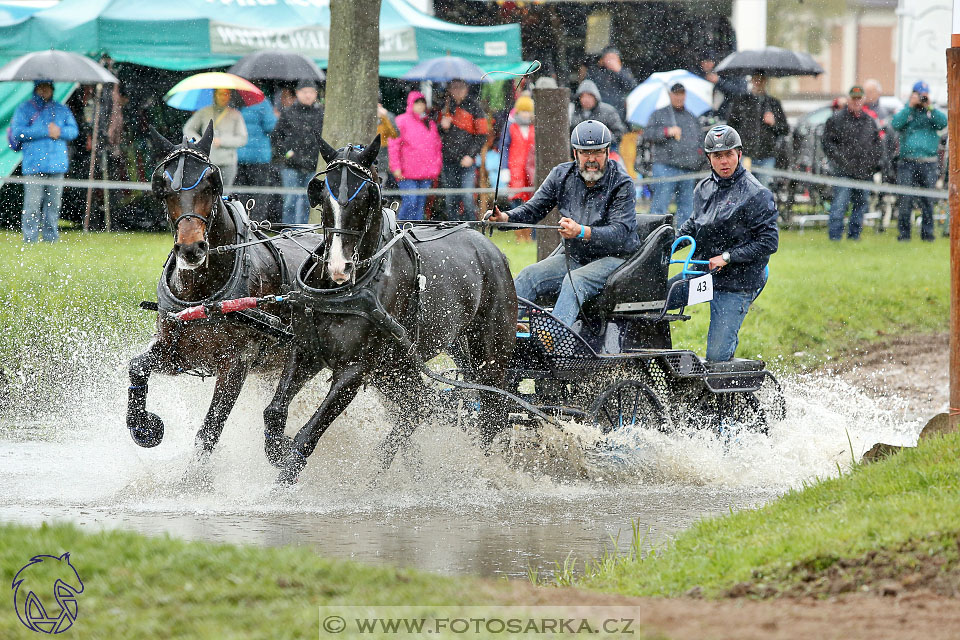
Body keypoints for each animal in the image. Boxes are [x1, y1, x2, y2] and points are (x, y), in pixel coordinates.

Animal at [125, 122, 322, 464]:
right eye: (163, 187)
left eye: (211, 184)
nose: (191, 248)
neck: (202, 295)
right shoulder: (175, 352)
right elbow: (137, 367)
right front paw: (145, 427)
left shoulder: (236, 363)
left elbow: (209, 431)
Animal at [262, 136, 516, 484]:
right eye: (323, 194)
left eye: (366, 197)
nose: (339, 266)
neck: (348, 289)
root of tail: (492, 249)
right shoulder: (305, 350)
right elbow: (273, 414)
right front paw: (277, 449)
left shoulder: (354, 370)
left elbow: (307, 436)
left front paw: (283, 476)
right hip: (399, 367)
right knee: (416, 410)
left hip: (490, 358)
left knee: (492, 414)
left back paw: (478, 470)